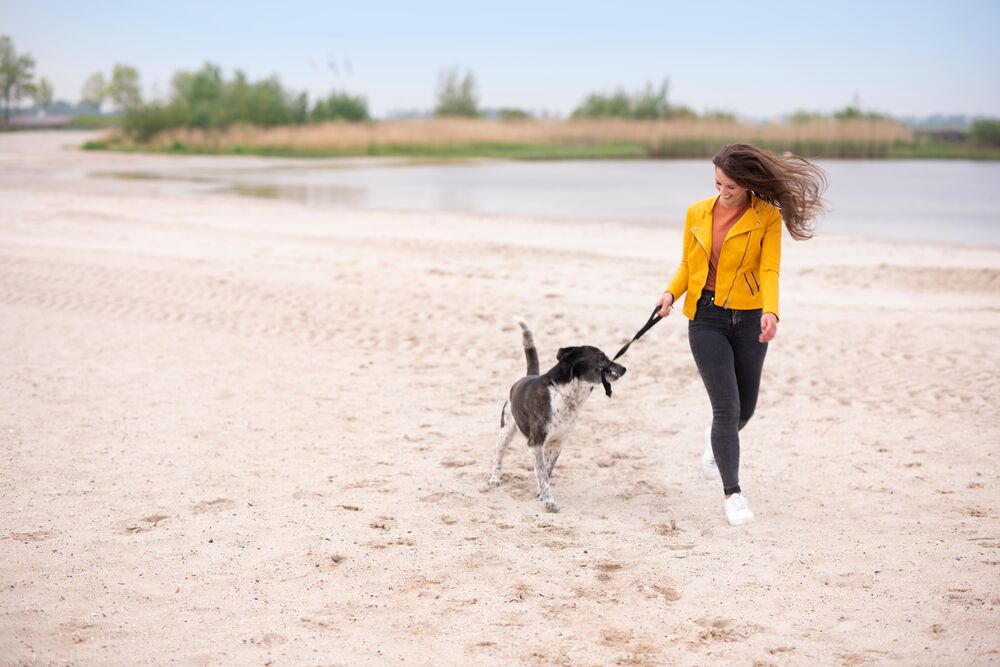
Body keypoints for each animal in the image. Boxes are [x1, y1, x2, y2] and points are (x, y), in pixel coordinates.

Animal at [486, 318, 624, 512]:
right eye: (600, 356)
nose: (624, 368)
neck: (566, 395)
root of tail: (527, 376)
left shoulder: (558, 443)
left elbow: (547, 470)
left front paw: (541, 494)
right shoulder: (536, 442)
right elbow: (543, 474)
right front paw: (549, 502)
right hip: (505, 431)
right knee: (498, 455)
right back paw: (494, 479)